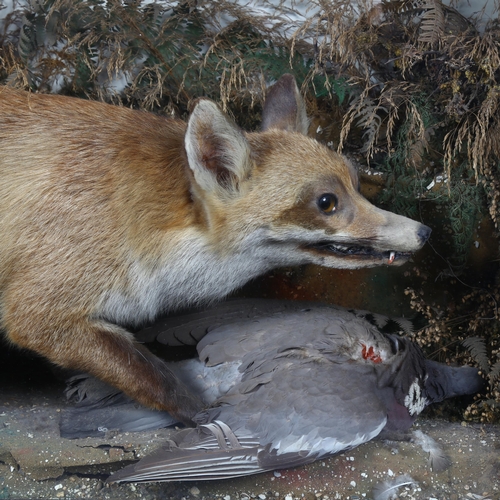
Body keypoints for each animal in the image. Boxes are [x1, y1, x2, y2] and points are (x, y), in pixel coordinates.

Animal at [0, 75, 430, 426]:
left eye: (356, 184)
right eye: (327, 202)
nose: (425, 231)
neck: (132, 217)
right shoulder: (40, 312)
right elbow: (153, 376)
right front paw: (203, 415)